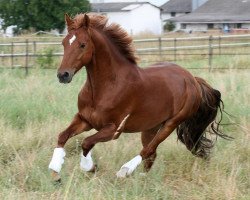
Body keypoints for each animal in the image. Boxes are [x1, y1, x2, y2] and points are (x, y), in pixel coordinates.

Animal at [48, 13, 229, 180]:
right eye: (64, 43)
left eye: (82, 44)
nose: (63, 75)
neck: (105, 88)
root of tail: (193, 80)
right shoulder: (84, 120)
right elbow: (62, 136)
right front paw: (55, 172)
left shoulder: (113, 129)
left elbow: (86, 143)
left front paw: (90, 167)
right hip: (150, 127)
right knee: (151, 155)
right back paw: (142, 179)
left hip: (171, 123)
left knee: (148, 150)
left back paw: (124, 171)